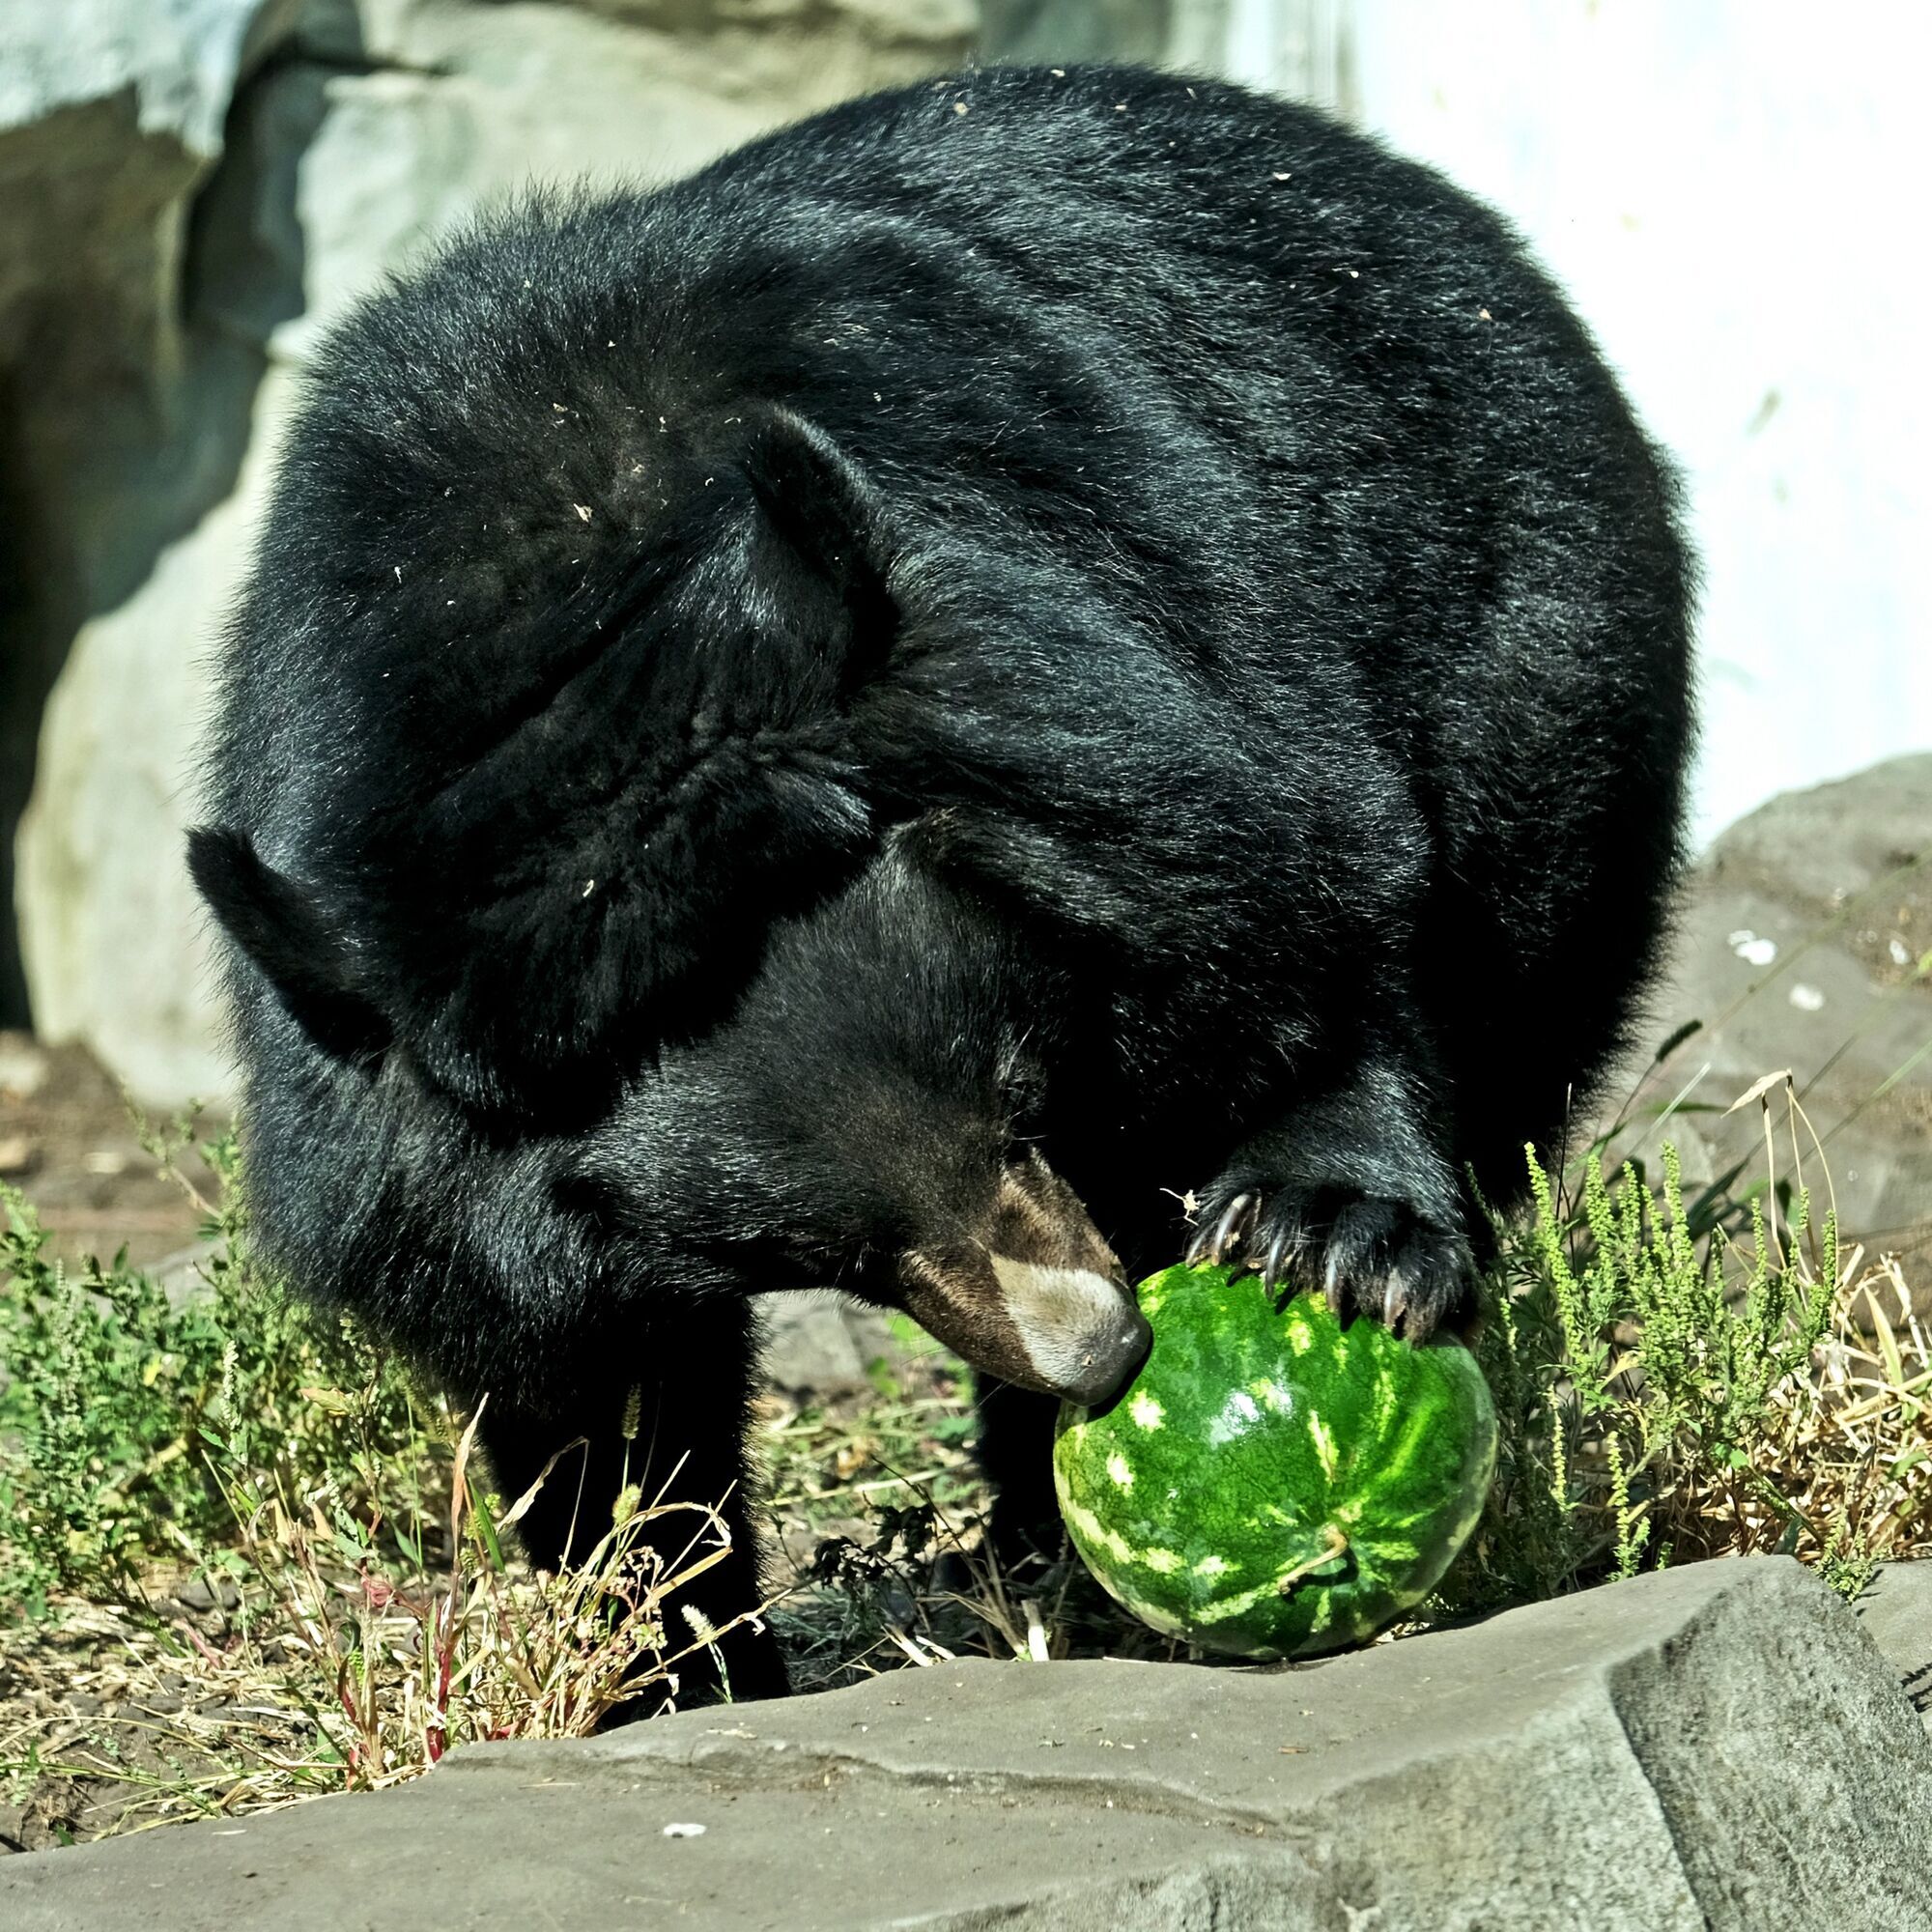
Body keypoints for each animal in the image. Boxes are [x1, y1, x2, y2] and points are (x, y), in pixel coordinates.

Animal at [185, 68, 1692, 1716]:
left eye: (1017, 1093)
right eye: (814, 1252)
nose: (1103, 1357)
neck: (565, 651)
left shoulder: (1120, 662)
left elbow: (1312, 897)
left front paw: (1329, 1242)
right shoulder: (432, 1128)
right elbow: (594, 1385)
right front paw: (680, 1671)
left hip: (1545, 651)